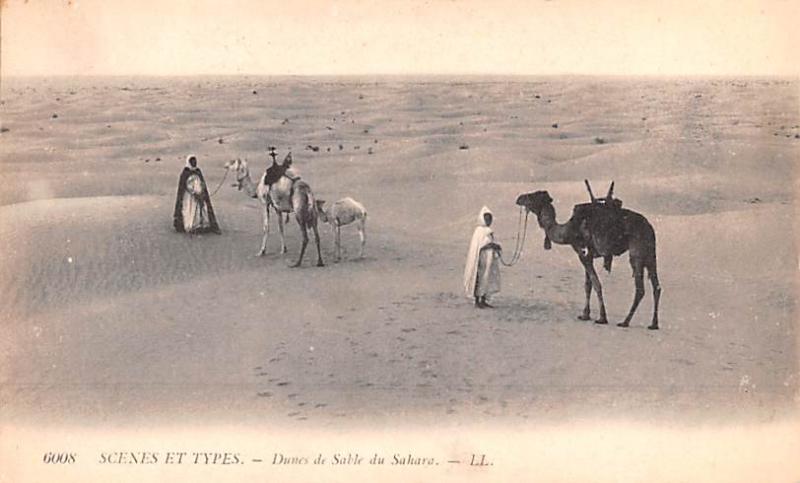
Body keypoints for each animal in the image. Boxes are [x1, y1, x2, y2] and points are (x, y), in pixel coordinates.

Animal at [516, 183, 660, 330]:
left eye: (532, 196)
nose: (519, 198)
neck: (568, 230)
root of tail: (649, 227)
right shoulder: (589, 254)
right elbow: (588, 285)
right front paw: (585, 315)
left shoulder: (581, 252)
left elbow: (596, 284)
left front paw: (602, 318)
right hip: (650, 254)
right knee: (656, 286)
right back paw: (653, 324)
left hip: (637, 252)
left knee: (640, 288)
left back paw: (625, 322)